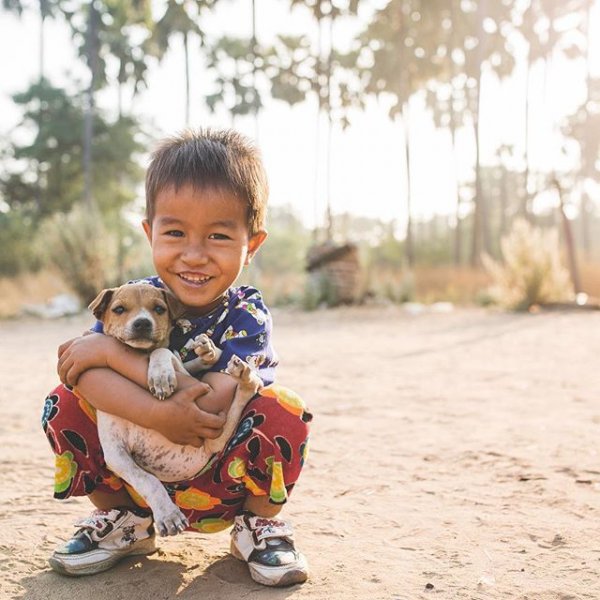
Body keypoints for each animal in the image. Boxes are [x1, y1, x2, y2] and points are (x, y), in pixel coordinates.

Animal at [87, 284, 262, 536]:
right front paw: (167, 515)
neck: (140, 355)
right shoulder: (115, 452)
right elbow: (147, 480)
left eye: (159, 309)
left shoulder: (189, 376)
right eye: (119, 309)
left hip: (216, 437)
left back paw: (240, 372)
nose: (142, 323)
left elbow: (164, 352)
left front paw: (162, 376)